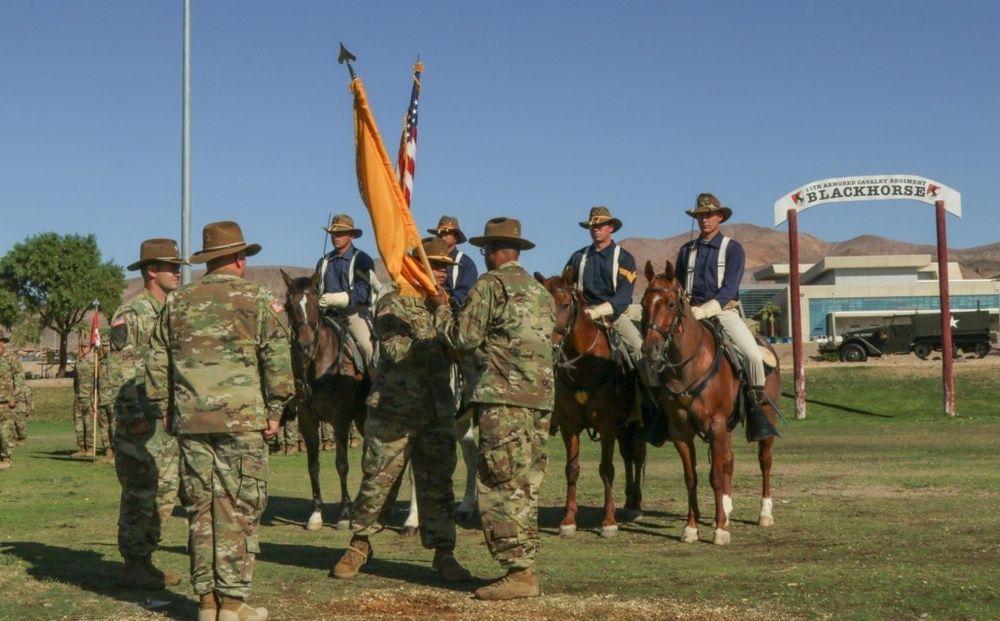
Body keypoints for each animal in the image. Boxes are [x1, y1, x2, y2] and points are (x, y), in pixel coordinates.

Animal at [280, 268, 370, 532]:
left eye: (314, 303)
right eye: (289, 305)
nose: (305, 346)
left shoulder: (340, 422)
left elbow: (341, 464)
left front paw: (344, 513)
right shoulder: (307, 422)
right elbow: (313, 465)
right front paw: (316, 513)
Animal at [536, 272, 644, 536]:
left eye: (565, 304)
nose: (549, 342)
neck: (585, 366)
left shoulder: (606, 427)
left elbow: (606, 469)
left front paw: (608, 521)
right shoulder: (569, 427)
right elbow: (572, 469)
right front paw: (568, 520)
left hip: (633, 425)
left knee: (636, 457)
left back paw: (635, 504)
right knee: (628, 457)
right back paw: (628, 502)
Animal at [640, 260, 780, 544]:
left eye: (671, 303)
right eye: (643, 303)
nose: (651, 349)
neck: (690, 365)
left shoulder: (715, 425)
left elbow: (715, 476)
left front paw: (720, 531)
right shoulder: (681, 432)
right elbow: (691, 477)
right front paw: (692, 527)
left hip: (764, 419)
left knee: (765, 461)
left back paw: (764, 513)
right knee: (729, 459)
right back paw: (725, 509)